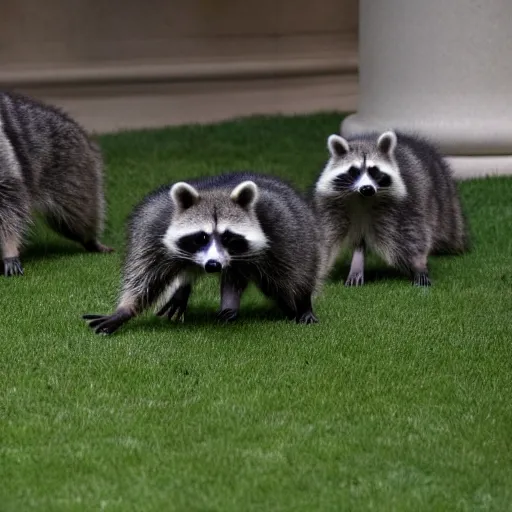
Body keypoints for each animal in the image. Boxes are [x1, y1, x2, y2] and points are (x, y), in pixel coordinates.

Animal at [82, 170, 326, 334]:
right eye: (201, 237)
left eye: (228, 237)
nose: (213, 265)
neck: (215, 192)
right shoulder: (154, 226)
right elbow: (145, 275)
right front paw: (126, 309)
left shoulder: (280, 223)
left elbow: (295, 267)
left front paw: (304, 300)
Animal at [312, 130, 468, 286]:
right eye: (354, 171)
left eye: (374, 171)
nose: (367, 188)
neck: (362, 198)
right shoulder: (332, 207)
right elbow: (328, 238)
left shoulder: (404, 203)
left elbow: (411, 236)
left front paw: (419, 266)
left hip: (441, 198)